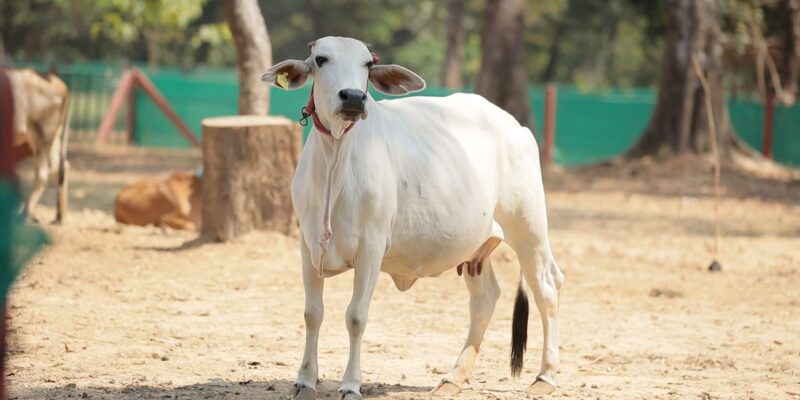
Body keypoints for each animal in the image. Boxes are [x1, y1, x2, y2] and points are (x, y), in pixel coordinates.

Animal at [262, 36, 564, 398]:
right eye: (320, 59)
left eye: (367, 63)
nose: (353, 97)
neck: (336, 159)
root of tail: (517, 126)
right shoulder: (307, 246)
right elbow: (312, 313)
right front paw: (305, 381)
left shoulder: (371, 249)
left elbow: (356, 316)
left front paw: (350, 384)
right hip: (476, 249)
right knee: (485, 298)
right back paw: (453, 377)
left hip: (529, 228)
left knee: (546, 287)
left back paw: (546, 375)